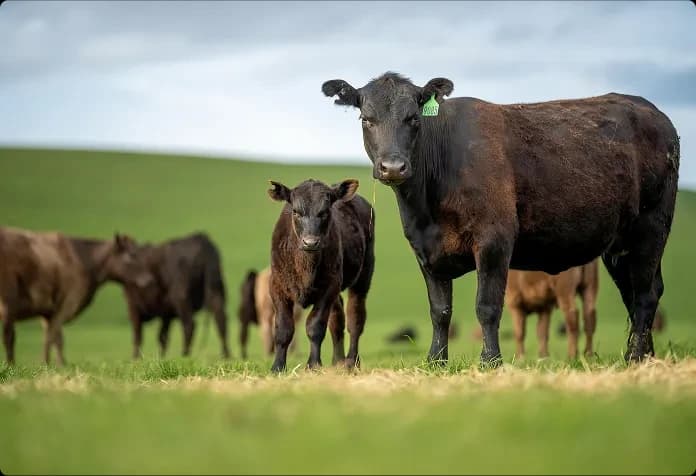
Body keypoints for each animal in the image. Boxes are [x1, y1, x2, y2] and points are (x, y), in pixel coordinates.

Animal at [0, 227, 152, 365]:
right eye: (132, 255)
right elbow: (53, 337)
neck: (85, 260)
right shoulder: (66, 303)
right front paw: (48, 363)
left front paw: (58, 364)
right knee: (9, 336)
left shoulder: (47, 311)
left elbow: (55, 337)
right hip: (8, 302)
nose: (149, 279)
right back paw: (10, 365)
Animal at [268, 178, 375, 372]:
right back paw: (338, 361)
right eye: (296, 212)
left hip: (363, 277)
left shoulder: (328, 288)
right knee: (337, 319)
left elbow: (315, 326)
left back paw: (351, 362)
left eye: (324, 212)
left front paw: (313, 365)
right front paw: (278, 367)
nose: (310, 242)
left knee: (355, 318)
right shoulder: (276, 286)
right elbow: (283, 329)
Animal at [322, 72, 679, 365]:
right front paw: (435, 362)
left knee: (645, 294)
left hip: (651, 228)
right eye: (366, 119)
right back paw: (645, 356)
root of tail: (653, 112)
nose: (393, 167)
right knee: (636, 294)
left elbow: (487, 306)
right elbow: (440, 311)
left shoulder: (494, 241)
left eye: (413, 118)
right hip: (619, 245)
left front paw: (490, 361)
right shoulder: (426, 252)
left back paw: (636, 357)